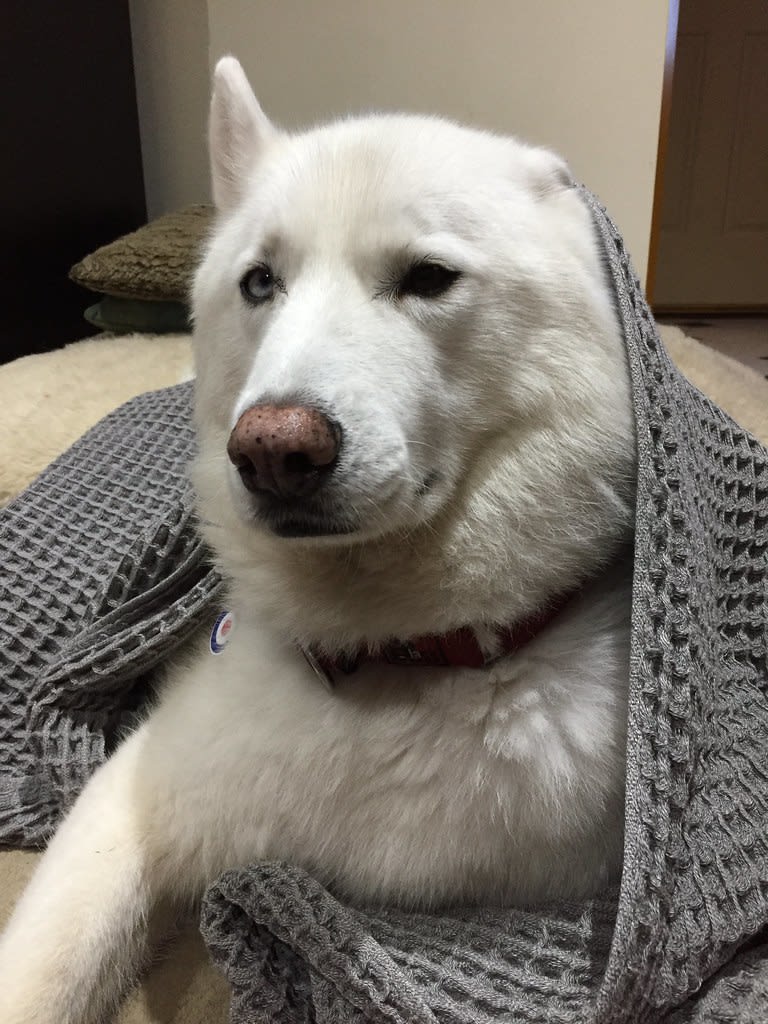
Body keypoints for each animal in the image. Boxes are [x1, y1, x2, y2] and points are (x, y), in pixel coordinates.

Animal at [0, 57, 636, 1023]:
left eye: (429, 277)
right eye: (261, 282)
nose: (273, 451)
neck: (392, 657)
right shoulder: (128, 804)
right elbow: (44, 968)